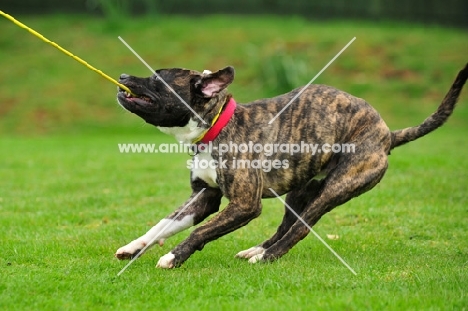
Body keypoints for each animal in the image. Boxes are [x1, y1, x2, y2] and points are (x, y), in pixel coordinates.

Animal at [115, 64, 466, 270]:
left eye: (157, 79)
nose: (122, 77)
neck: (216, 126)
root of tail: (387, 134)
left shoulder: (244, 204)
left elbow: (200, 231)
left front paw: (174, 257)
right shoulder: (204, 197)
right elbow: (163, 224)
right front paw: (134, 247)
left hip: (336, 188)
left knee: (301, 228)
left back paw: (267, 257)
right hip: (301, 190)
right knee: (287, 225)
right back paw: (255, 250)